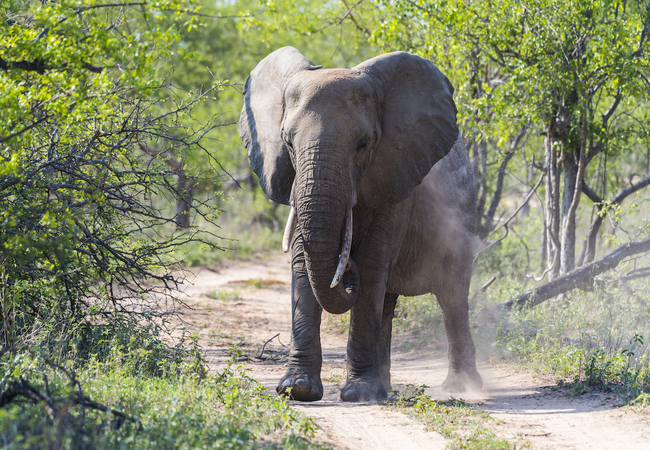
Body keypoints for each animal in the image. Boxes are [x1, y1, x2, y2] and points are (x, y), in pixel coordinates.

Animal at [238, 47, 480, 402]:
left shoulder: (396, 176)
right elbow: (302, 263)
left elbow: (371, 263)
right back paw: (386, 387)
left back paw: (460, 388)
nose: (345, 266)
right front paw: (297, 389)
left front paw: (359, 394)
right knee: (389, 303)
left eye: (363, 143)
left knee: (452, 298)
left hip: (462, 219)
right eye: (288, 143)